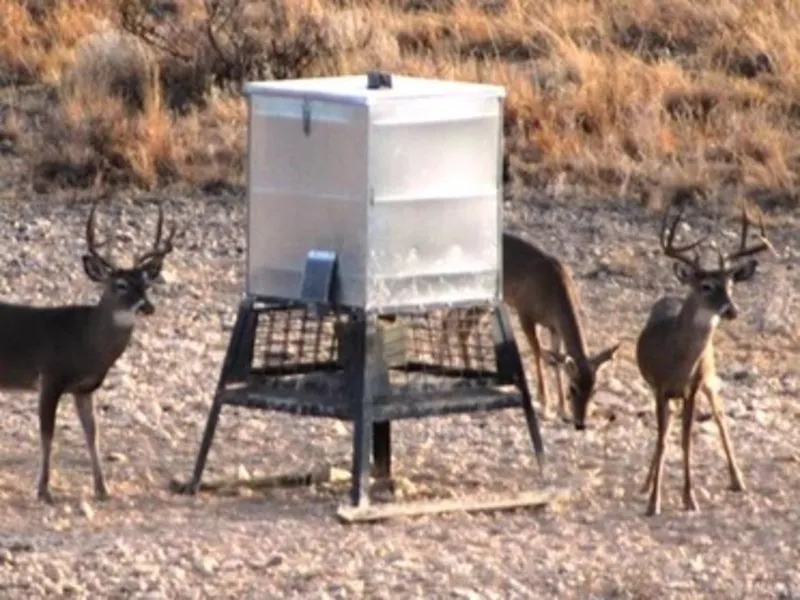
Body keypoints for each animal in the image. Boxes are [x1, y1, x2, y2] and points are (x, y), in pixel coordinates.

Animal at [0, 200, 176, 503]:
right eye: (120, 285)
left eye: (147, 284)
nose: (147, 307)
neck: (84, 342)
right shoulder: (50, 377)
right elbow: (47, 434)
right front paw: (43, 489)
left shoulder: (84, 389)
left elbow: (93, 434)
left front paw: (102, 489)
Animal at [443, 232, 621, 429]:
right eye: (573, 388)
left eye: (593, 389)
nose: (580, 424)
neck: (554, 295)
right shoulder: (524, 312)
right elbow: (537, 353)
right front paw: (545, 406)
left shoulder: (554, 327)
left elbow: (556, 360)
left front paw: (562, 410)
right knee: (459, 325)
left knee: (452, 321)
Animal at [636, 199, 775, 516]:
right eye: (706, 286)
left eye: (731, 285)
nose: (732, 310)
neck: (677, 361)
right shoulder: (660, 387)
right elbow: (663, 439)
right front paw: (653, 501)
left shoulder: (694, 387)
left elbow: (686, 441)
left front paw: (690, 498)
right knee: (667, 428)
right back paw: (646, 484)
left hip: (710, 378)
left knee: (721, 415)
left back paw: (738, 479)